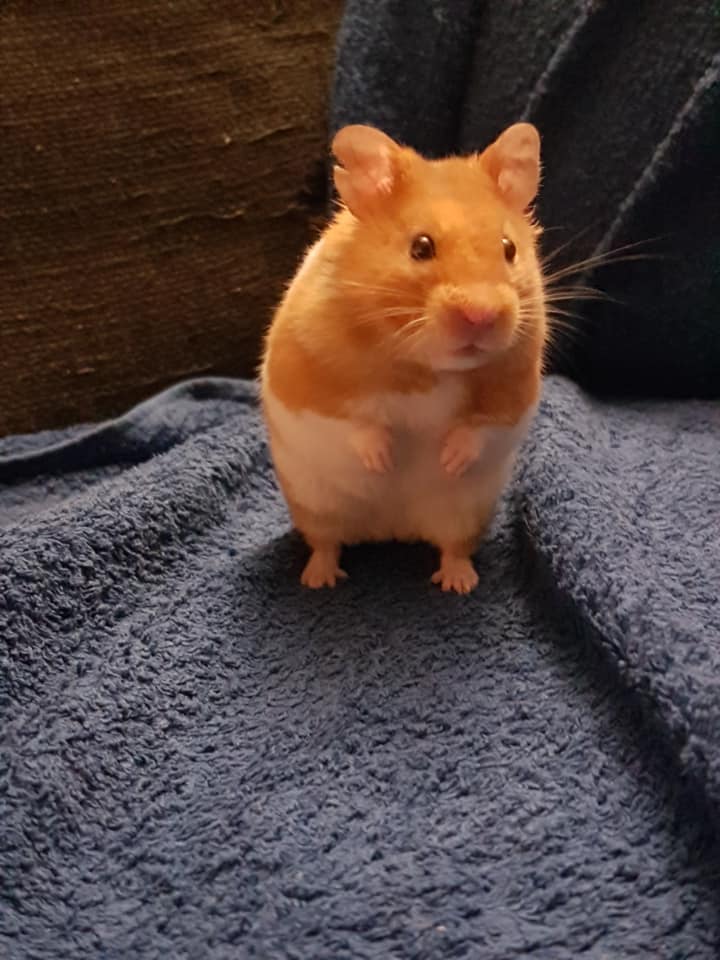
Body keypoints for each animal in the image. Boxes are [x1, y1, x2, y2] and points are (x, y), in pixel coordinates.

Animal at [260, 122, 546, 593]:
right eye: (421, 247)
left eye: (509, 248)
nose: (482, 315)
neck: (426, 365)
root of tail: (392, 529)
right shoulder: (308, 377)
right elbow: (353, 422)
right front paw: (383, 461)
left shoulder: (515, 389)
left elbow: (480, 427)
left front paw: (449, 461)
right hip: (314, 505)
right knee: (326, 543)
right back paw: (320, 581)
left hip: (465, 514)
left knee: (453, 548)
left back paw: (459, 584)